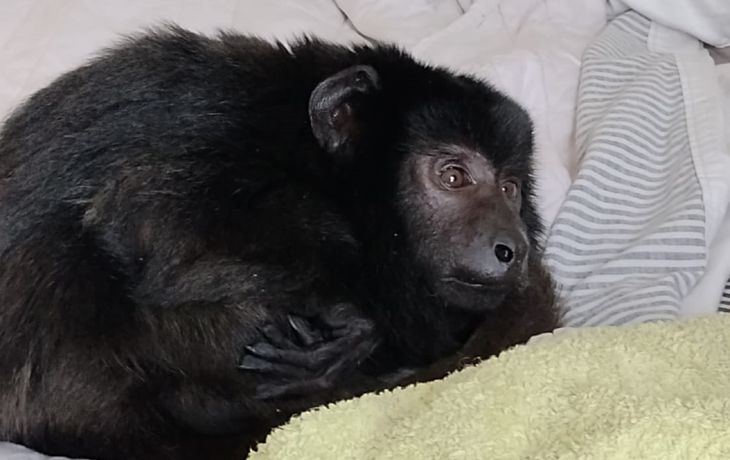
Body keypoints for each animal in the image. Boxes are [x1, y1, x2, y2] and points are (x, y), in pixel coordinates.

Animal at [0, 26, 559, 460]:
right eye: (453, 176)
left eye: (510, 188)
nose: (513, 245)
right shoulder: (221, 128)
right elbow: (142, 219)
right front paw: (360, 323)